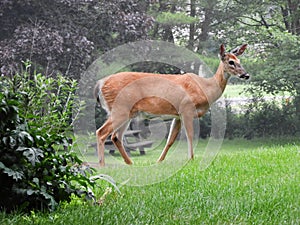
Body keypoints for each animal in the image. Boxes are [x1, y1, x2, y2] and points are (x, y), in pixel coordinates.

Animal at [94, 44, 248, 167]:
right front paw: (191, 159)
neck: (205, 88)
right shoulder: (186, 109)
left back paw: (130, 163)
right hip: (120, 109)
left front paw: (159, 161)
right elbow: (190, 135)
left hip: (128, 113)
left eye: (239, 60)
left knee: (115, 137)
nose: (246, 75)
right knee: (101, 132)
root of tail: (100, 84)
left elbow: (170, 140)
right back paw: (102, 165)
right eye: (231, 62)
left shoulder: (177, 115)